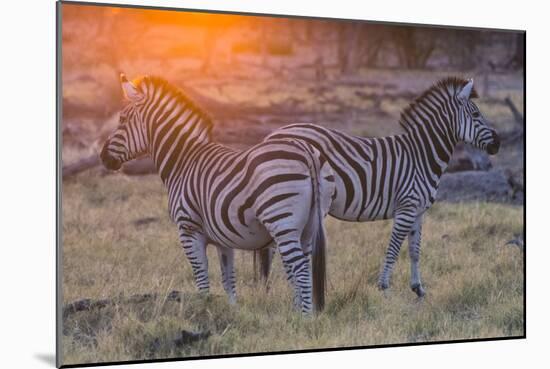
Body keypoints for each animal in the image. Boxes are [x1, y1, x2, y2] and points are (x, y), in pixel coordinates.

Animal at [100, 74, 336, 314]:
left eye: (122, 120)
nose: (103, 157)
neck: (184, 161)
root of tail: (306, 151)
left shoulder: (188, 229)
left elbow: (202, 277)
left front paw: (204, 309)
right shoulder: (224, 239)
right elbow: (228, 280)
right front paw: (232, 312)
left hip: (281, 221)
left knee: (300, 269)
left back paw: (304, 317)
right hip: (309, 225)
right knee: (303, 266)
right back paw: (298, 313)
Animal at [258, 77, 500, 296]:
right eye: (476, 115)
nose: (497, 145)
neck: (421, 156)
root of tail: (271, 135)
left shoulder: (418, 211)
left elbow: (415, 250)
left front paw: (418, 289)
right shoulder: (406, 207)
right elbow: (393, 249)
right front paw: (384, 288)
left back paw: (268, 289)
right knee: (277, 248)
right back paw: (274, 290)